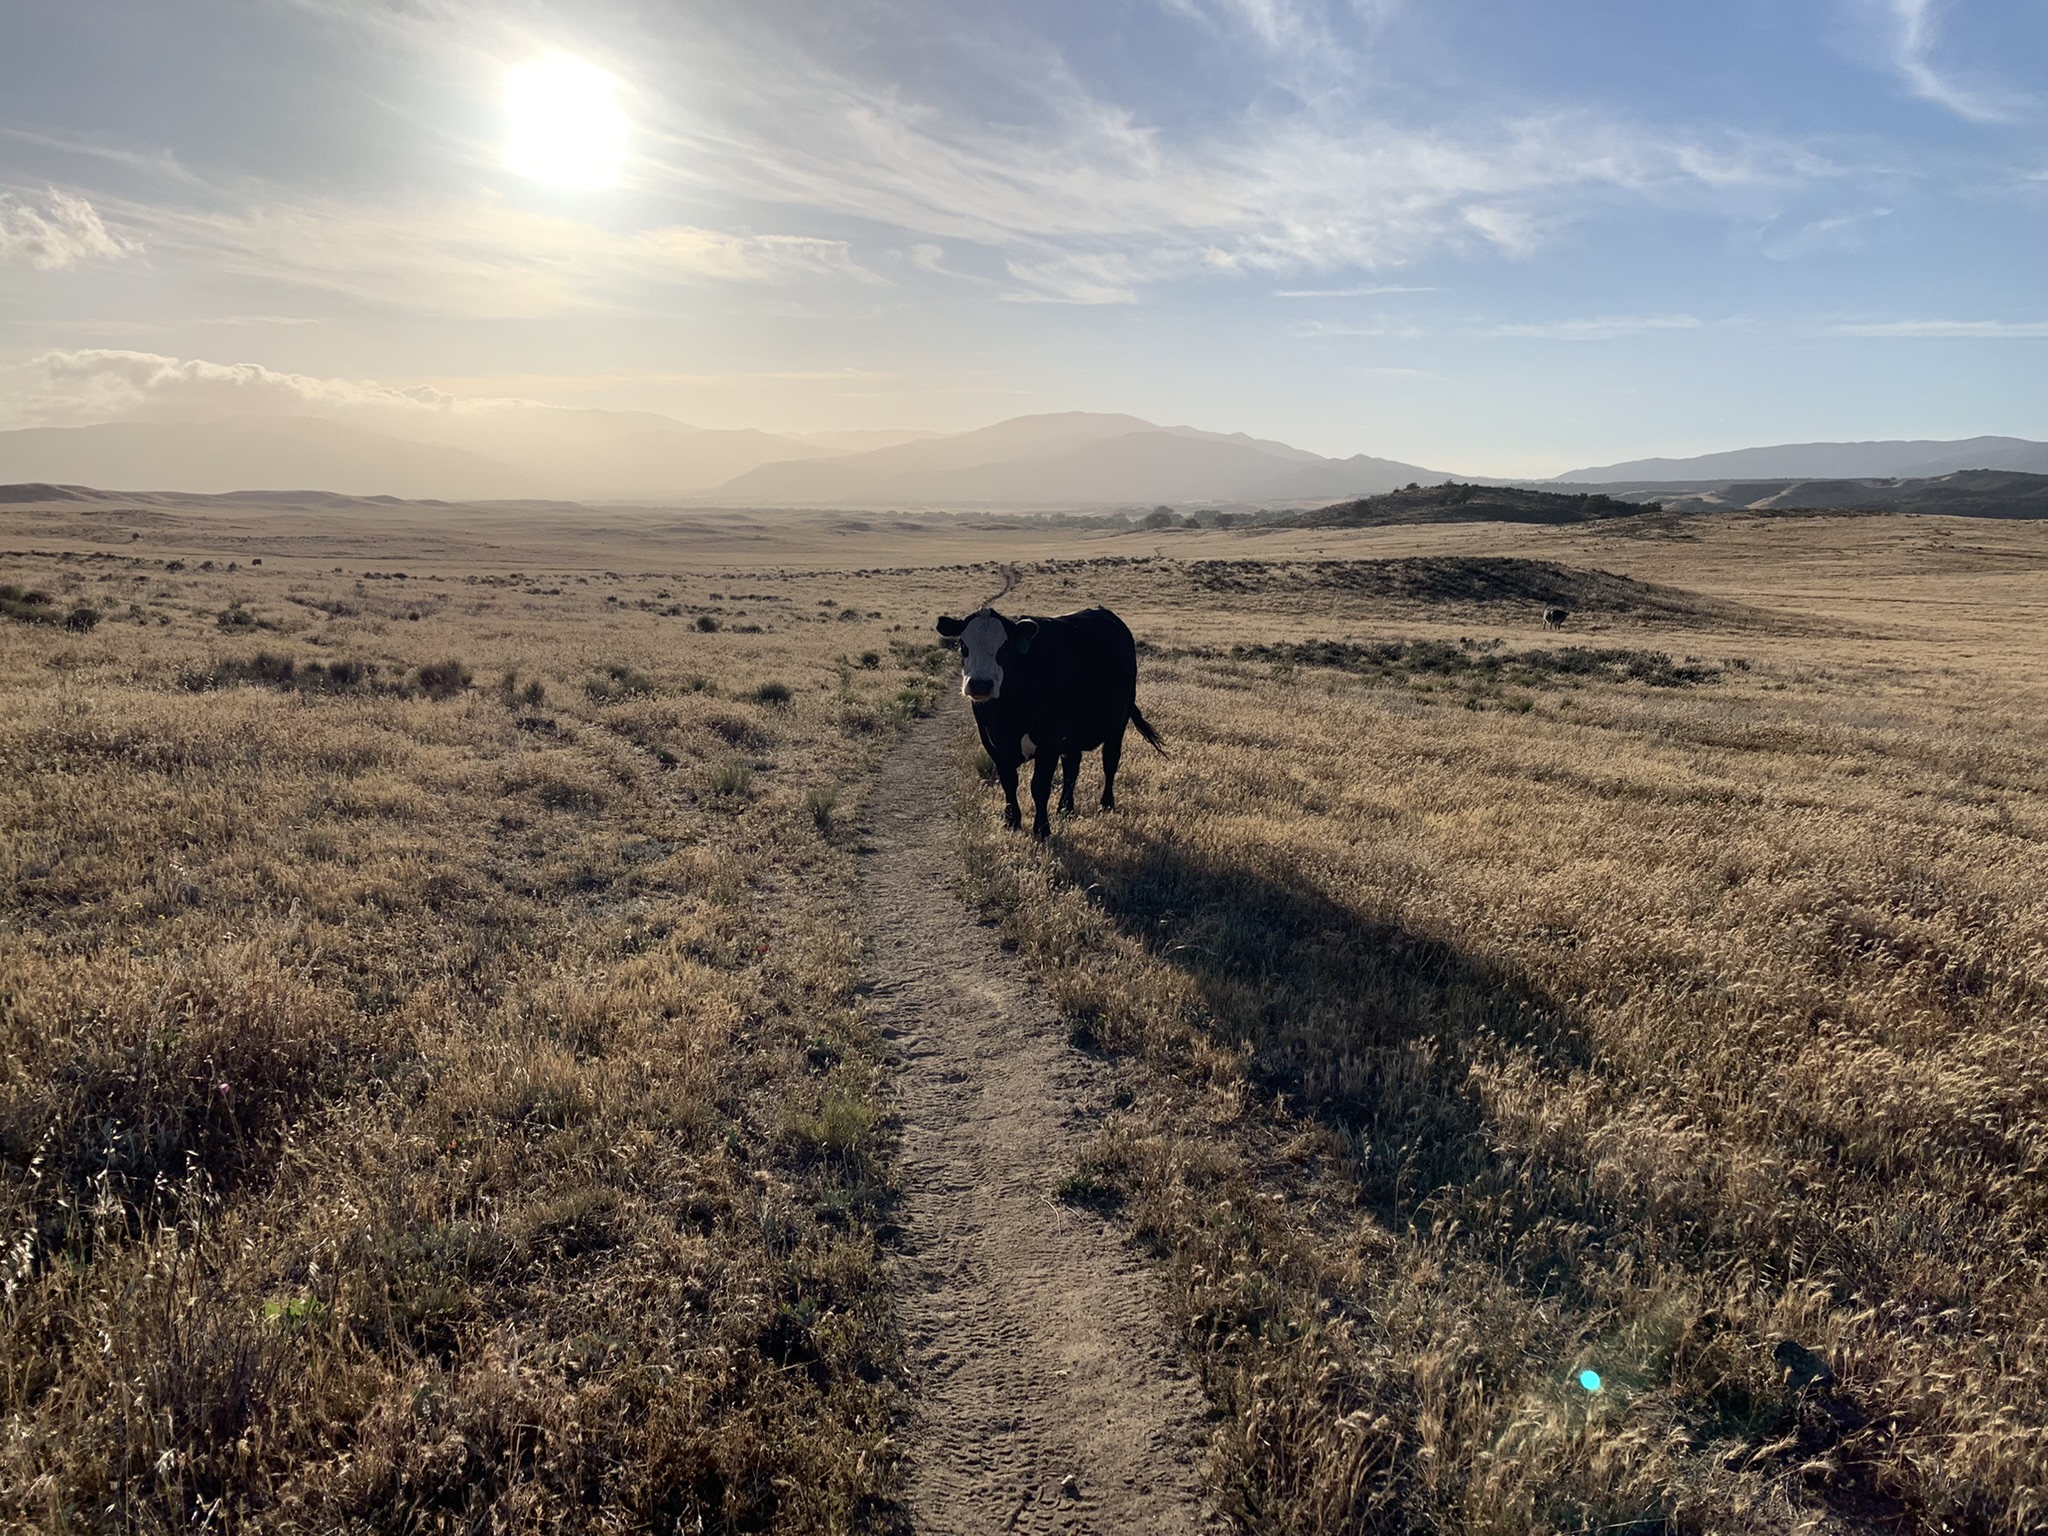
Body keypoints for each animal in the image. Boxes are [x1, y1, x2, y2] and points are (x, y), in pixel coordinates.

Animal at [933, 605, 1163, 839]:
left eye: (1004, 646)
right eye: (963, 645)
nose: (980, 684)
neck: (1007, 713)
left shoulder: (1049, 743)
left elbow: (1040, 786)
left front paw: (1042, 829)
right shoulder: (993, 743)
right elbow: (1009, 781)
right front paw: (1011, 821)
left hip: (1118, 724)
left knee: (1110, 762)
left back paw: (1106, 804)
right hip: (1073, 736)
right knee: (1072, 768)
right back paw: (1065, 809)